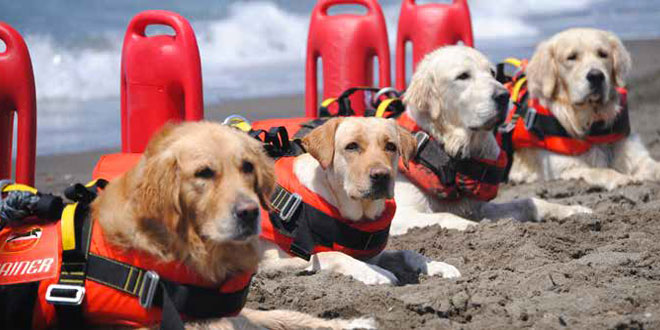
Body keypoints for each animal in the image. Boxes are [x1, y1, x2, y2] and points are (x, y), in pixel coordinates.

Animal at [258, 117, 458, 284]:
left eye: (391, 146)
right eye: (351, 146)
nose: (381, 175)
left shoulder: (374, 254)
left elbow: (406, 252)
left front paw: (437, 265)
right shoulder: (274, 258)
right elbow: (334, 255)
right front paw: (376, 273)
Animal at [390, 45, 592, 235]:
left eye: (492, 73)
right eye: (463, 76)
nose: (504, 96)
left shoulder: (477, 207)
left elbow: (527, 202)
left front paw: (572, 210)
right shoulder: (400, 215)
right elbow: (445, 215)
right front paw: (474, 228)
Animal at [506, 28, 660, 189]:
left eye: (603, 54)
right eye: (571, 57)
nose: (596, 76)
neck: (593, 122)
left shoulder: (635, 155)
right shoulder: (564, 167)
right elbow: (600, 171)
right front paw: (621, 178)